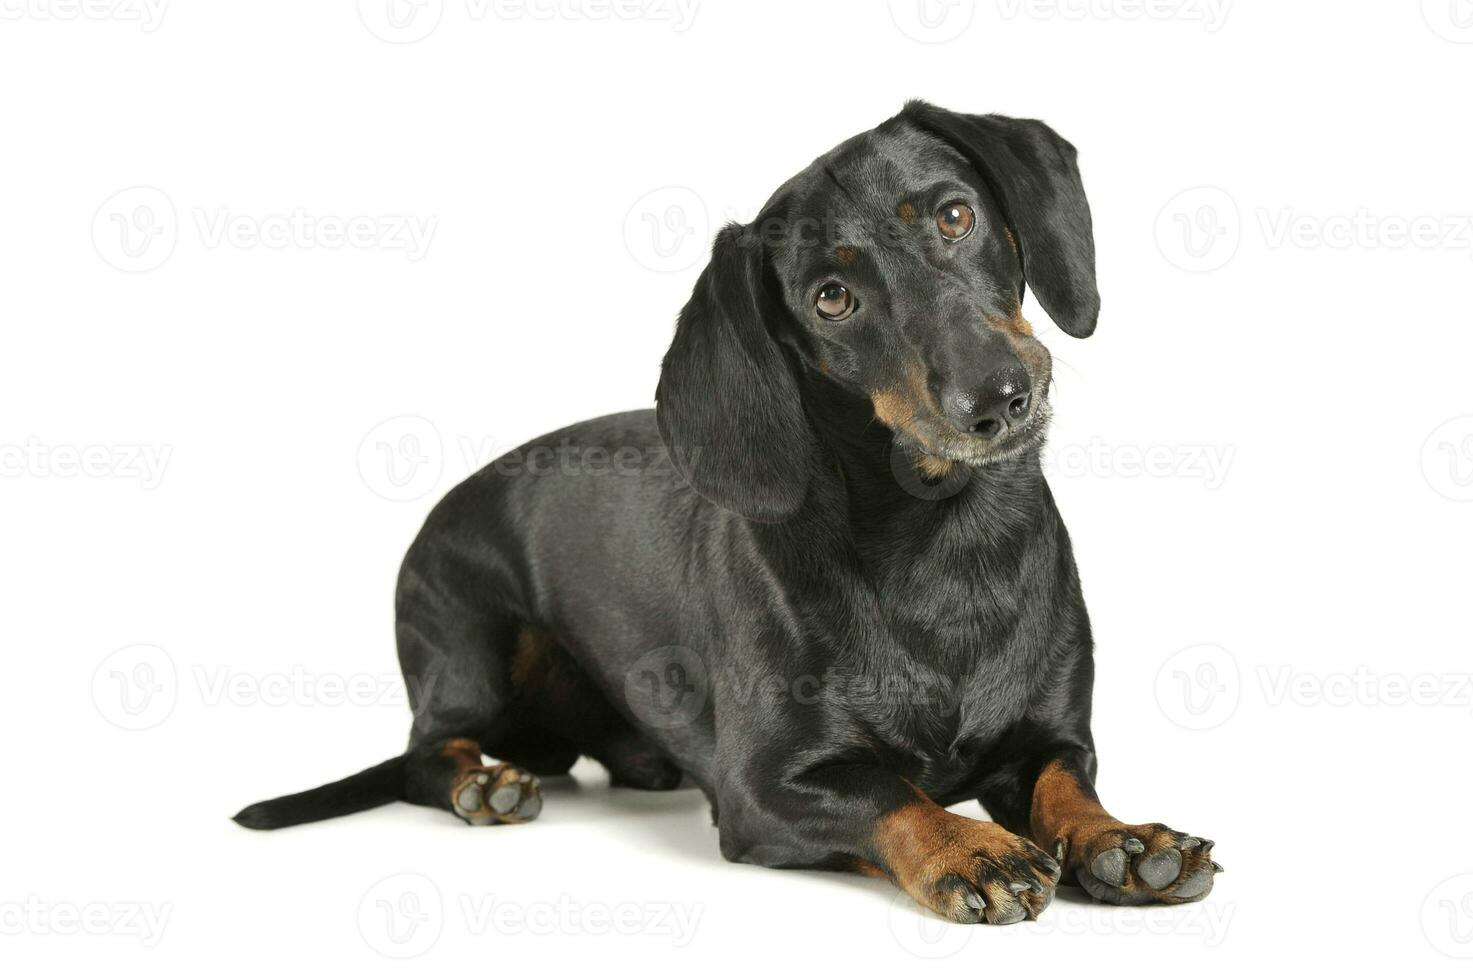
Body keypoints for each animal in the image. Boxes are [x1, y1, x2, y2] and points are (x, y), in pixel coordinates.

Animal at [238, 103, 1219, 919]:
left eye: (952, 216)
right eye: (831, 297)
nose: (998, 398)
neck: (947, 542)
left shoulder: (1053, 738)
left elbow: (1065, 787)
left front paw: (1120, 840)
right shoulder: (765, 791)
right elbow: (890, 795)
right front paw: (969, 848)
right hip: (466, 645)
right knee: (422, 753)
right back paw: (482, 783)